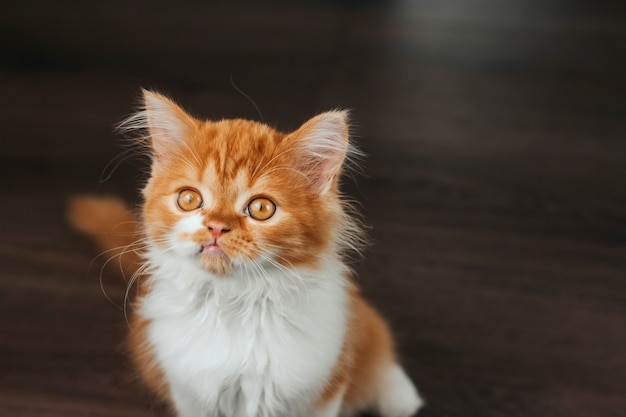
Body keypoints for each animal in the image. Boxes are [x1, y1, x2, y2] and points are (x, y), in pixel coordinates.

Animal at [70, 91, 422, 416]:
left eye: (261, 208)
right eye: (189, 199)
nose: (216, 227)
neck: (235, 301)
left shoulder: (322, 388)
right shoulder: (190, 392)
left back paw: (402, 397)